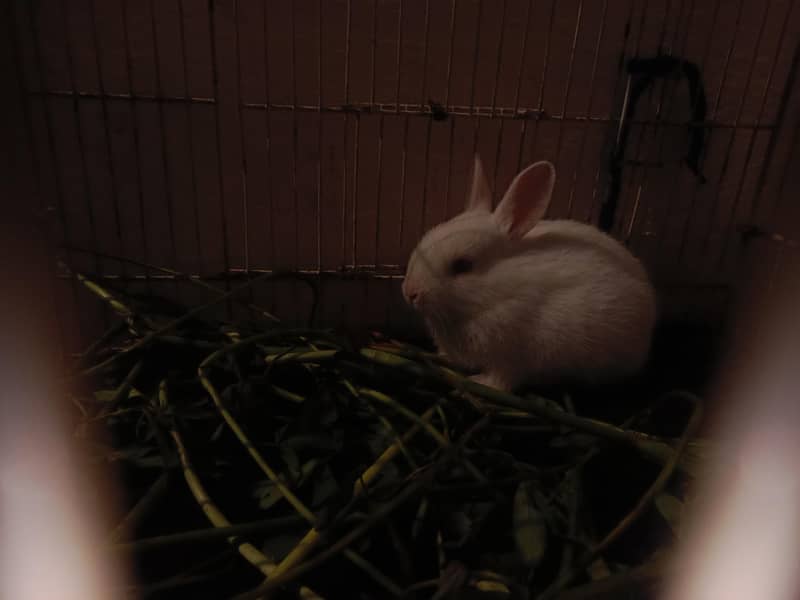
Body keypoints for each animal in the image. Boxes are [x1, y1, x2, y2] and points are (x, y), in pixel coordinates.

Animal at [401, 155, 658, 393]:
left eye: (462, 265)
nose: (410, 292)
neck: (494, 293)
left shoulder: (513, 358)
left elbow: (502, 380)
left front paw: (479, 382)